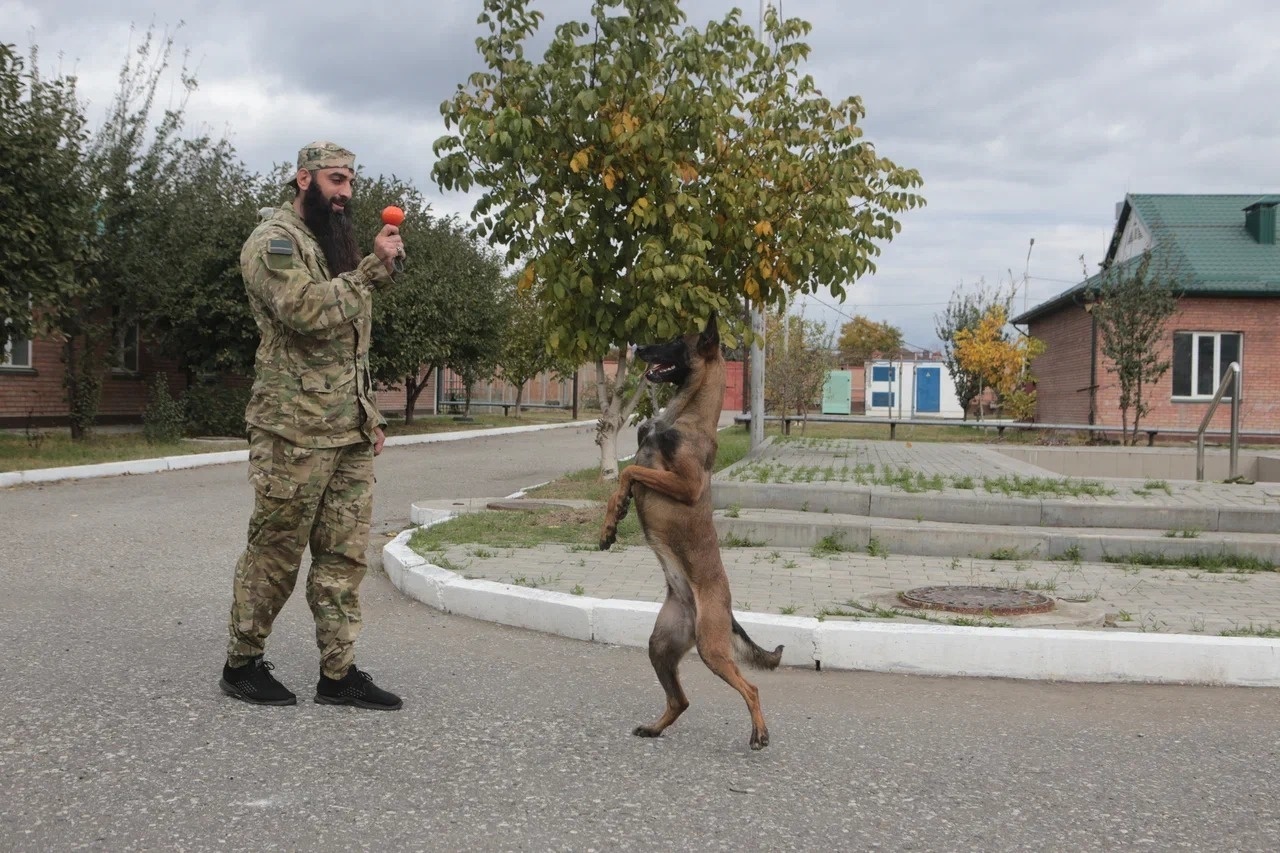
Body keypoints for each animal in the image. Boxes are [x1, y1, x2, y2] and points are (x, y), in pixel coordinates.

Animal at [596, 311, 778, 742]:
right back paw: (654, 727)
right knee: (681, 700)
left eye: (678, 341)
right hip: (661, 645)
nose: (638, 346)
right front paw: (611, 523)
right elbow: (623, 478)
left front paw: (619, 509)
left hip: (712, 649)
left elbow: (629, 471)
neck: (685, 415)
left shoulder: (686, 484)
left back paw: (759, 733)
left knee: (751, 687)